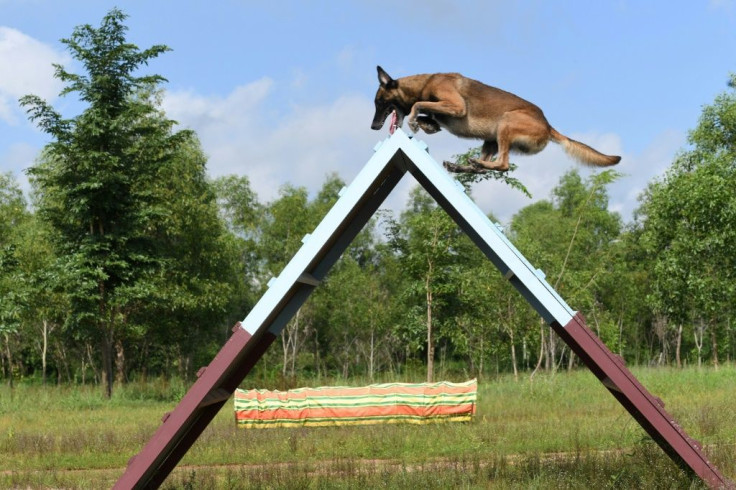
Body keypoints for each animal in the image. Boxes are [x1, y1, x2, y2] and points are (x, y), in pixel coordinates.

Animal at [370, 64, 620, 173]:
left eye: (379, 102)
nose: (373, 126)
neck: (423, 83)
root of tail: (548, 126)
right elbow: (427, 113)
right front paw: (426, 124)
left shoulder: (456, 106)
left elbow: (419, 105)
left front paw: (415, 120)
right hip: (491, 139)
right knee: (485, 168)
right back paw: (464, 165)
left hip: (505, 123)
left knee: (502, 164)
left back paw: (477, 163)